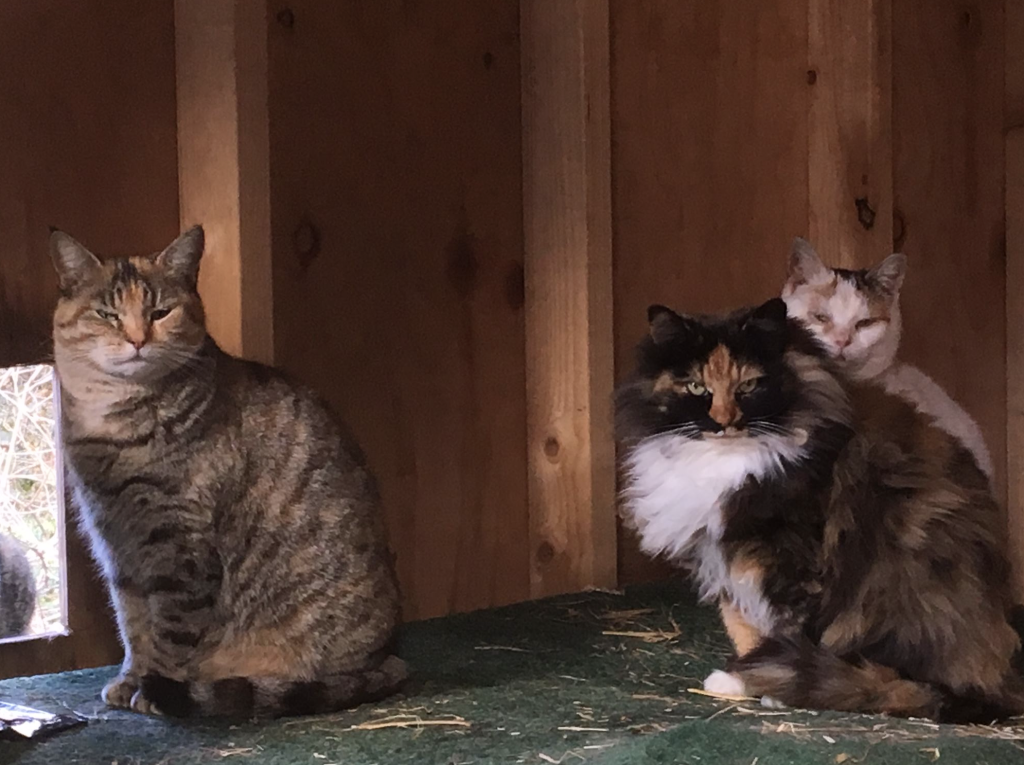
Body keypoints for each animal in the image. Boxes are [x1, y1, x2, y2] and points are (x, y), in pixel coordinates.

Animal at [48, 226, 407, 716]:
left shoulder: (180, 547)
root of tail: (388, 657)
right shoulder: (117, 544)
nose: (138, 340)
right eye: (107, 314)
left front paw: (154, 689)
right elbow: (133, 624)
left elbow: (170, 633)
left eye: (160, 311)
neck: (114, 428)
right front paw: (131, 679)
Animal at [614, 296, 1024, 720]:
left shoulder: (793, 563)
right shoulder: (729, 557)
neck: (727, 462)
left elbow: (786, 634)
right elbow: (744, 629)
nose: (724, 423)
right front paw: (743, 679)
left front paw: (770, 687)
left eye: (749, 386)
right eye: (697, 387)